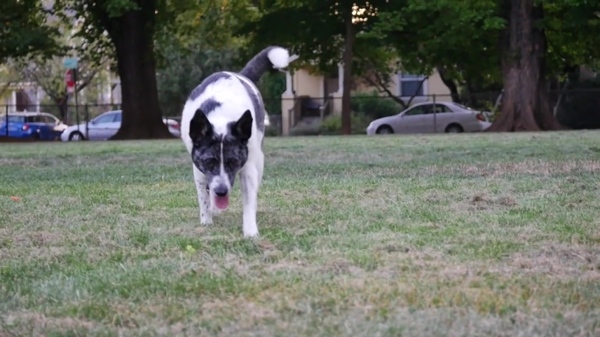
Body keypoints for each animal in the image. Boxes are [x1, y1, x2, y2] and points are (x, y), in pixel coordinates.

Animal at [179, 46, 298, 236]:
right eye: (209, 162)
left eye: (233, 162)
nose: (221, 192)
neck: (221, 118)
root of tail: (237, 74)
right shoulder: (199, 170)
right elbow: (203, 198)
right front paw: (206, 221)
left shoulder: (248, 167)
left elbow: (248, 202)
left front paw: (250, 231)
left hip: (259, 158)